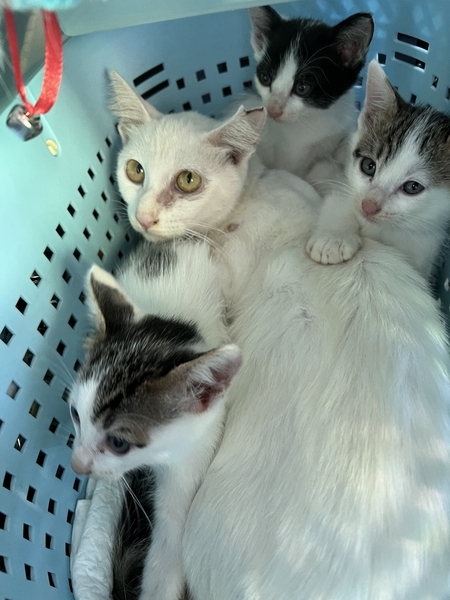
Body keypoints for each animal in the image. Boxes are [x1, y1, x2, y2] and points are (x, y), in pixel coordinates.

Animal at [307, 59, 450, 279]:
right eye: (368, 166)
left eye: (413, 187)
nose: (369, 206)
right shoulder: (342, 178)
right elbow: (339, 197)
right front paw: (333, 239)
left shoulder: (428, 244)